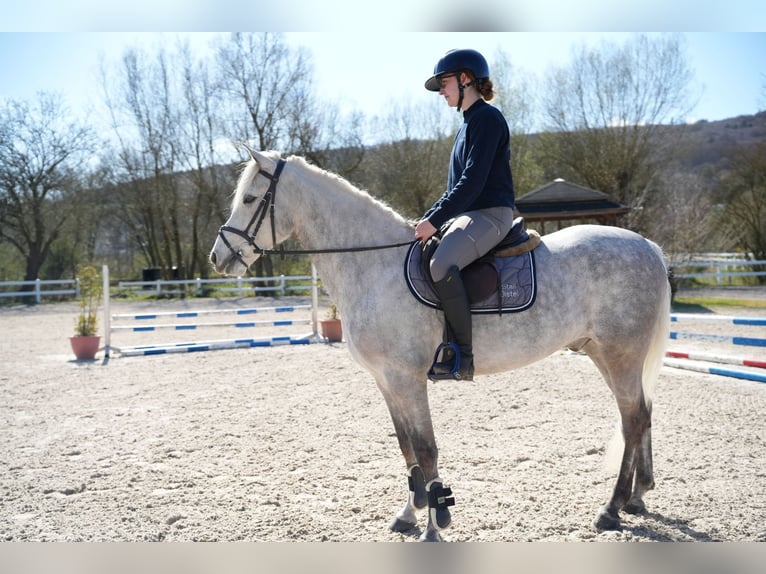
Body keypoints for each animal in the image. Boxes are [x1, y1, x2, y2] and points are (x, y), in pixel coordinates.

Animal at [209, 150, 671, 542]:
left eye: (250, 198)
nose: (218, 257)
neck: (374, 265)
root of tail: (647, 246)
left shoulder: (407, 379)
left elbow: (426, 449)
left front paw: (434, 526)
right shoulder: (387, 381)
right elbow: (406, 447)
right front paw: (410, 513)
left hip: (621, 354)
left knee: (633, 419)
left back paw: (611, 509)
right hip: (602, 354)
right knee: (641, 414)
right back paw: (638, 496)